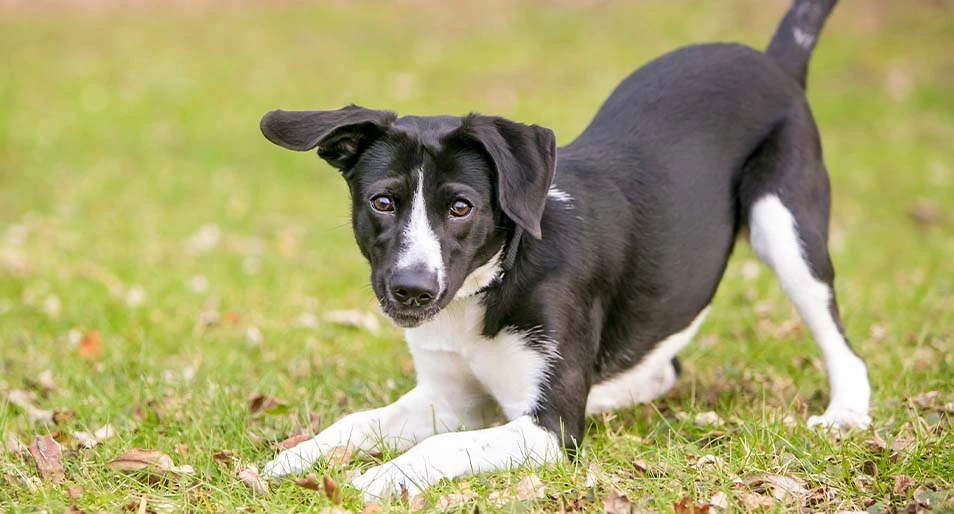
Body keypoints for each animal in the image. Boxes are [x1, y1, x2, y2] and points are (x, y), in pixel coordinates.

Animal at [256, 0, 868, 496]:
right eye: (382, 202)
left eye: (461, 207)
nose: (412, 290)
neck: (492, 284)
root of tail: (771, 62)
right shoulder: (448, 400)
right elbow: (357, 420)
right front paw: (295, 459)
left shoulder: (548, 429)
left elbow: (445, 446)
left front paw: (381, 477)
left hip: (784, 227)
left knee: (841, 343)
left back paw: (846, 414)